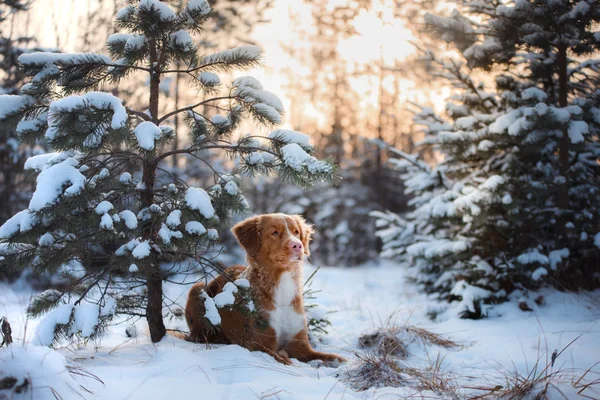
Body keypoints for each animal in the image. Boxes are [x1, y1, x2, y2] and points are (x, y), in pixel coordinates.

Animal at [184, 212, 346, 366]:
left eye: (296, 232)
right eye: (275, 232)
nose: (298, 245)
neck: (282, 285)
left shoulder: (300, 347)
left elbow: (331, 357)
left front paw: (342, 362)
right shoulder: (260, 345)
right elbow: (288, 362)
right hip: (198, 289)